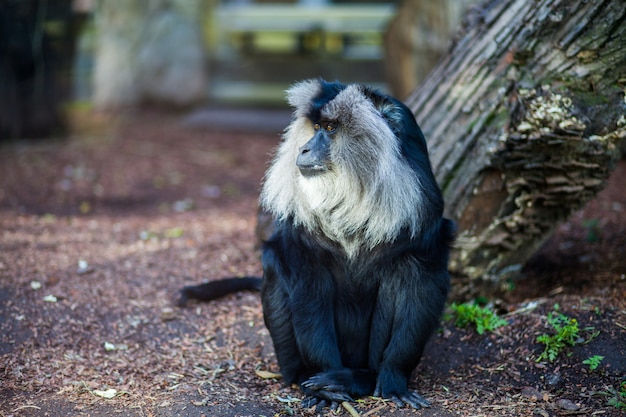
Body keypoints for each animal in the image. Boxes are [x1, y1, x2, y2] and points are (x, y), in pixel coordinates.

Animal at [179, 79, 454, 410]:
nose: (305, 148)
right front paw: (323, 384)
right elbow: (305, 283)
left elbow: (421, 284)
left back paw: (361, 377)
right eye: (317, 126)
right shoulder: (303, 249)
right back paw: (316, 379)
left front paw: (393, 377)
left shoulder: (422, 219)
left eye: (331, 128)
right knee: (274, 263)